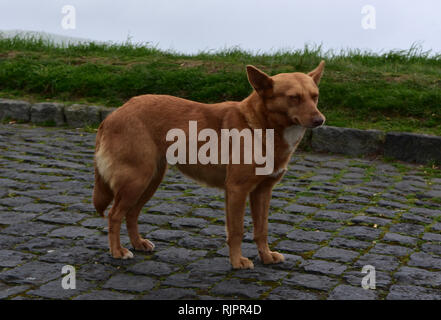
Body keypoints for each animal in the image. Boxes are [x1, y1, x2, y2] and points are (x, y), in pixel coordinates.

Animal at [93, 61, 324, 268]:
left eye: (315, 96)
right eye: (293, 98)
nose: (320, 120)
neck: (258, 127)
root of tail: (114, 113)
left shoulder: (263, 192)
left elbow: (262, 230)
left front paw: (266, 257)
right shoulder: (237, 190)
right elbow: (237, 231)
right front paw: (237, 262)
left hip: (150, 182)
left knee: (131, 214)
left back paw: (138, 244)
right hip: (136, 181)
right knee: (115, 215)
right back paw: (117, 251)